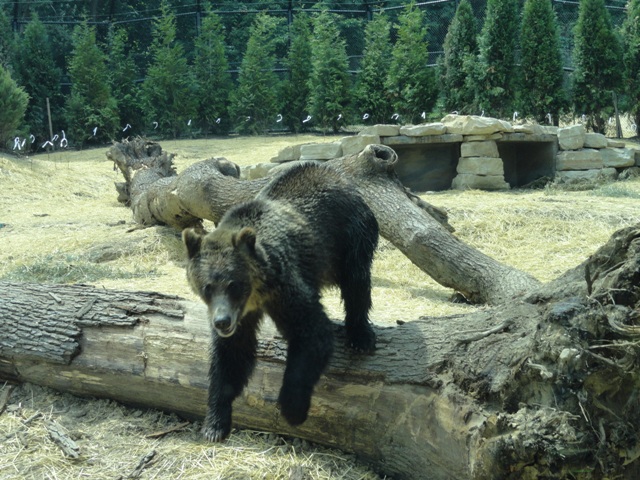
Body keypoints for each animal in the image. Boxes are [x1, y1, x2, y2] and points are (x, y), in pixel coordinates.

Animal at [182, 162, 378, 442]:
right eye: (207, 287)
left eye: (233, 284)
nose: (221, 322)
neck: (256, 296)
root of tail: (340, 176)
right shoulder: (241, 317)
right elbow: (232, 356)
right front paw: (215, 424)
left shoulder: (284, 287)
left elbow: (312, 333)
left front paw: (292, 409)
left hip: (351, 235)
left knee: (357, 281)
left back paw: (360, 335)